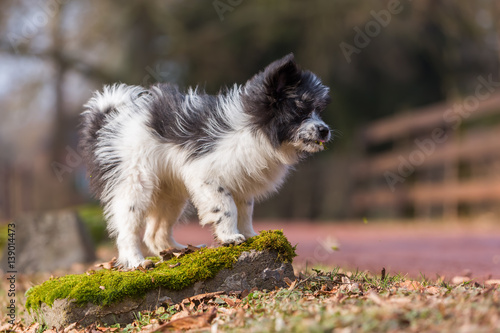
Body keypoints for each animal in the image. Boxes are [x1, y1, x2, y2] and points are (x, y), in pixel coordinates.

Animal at [79, 54, 332, 268]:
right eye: (300, 110)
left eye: (319, 111)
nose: (325, 130)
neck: (253, 129)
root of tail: (107, 120)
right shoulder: (207, 177)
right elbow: (227, 208)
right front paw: (230, 236)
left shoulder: (241, 183)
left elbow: (245, 211)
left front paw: (250, 235)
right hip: (134, 187)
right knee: (127, 230)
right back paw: (137, 261)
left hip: (169, 196)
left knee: (155, 233)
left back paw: (178, 251)